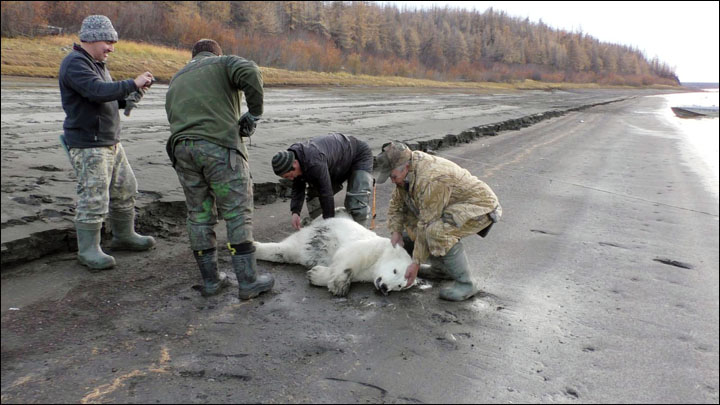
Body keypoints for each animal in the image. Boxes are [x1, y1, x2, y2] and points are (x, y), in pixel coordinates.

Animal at [255, 215, 414, 296]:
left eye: (399, 286)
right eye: (395, 270)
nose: (384, 288)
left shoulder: (366, 275)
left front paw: (315, 275)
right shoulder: (370, 248)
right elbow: (347, 258)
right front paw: (340, 286)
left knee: (285, 251)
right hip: (323, 229)